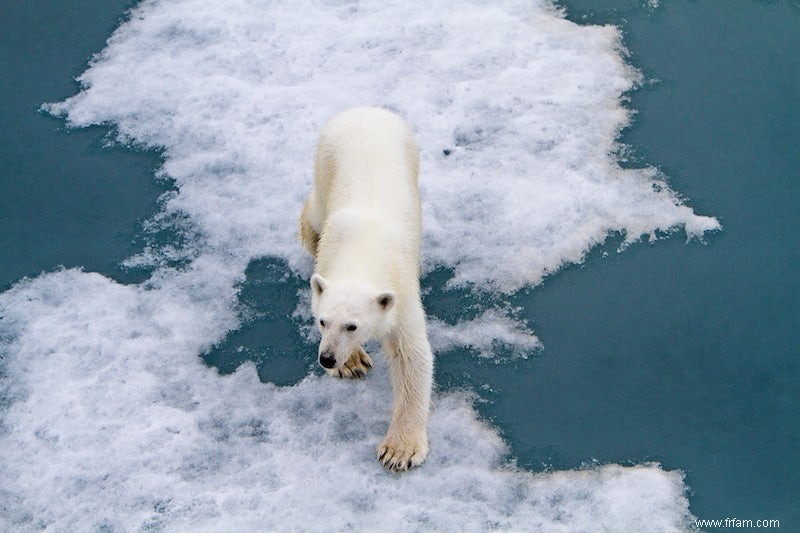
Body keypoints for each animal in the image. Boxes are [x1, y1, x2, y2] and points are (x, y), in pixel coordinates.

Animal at [298, 107, 432, 470]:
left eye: (352, 325)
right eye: (322, 321)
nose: (328, 359)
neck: (364, 247)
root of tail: (366, 110)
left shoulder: (401, 292)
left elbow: (411, 356)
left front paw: (399, 451)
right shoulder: (330, 257)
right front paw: (352, 362)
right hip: (324, 159)